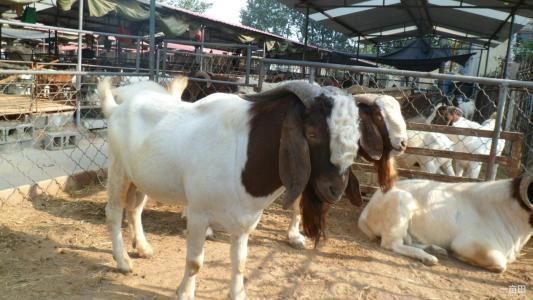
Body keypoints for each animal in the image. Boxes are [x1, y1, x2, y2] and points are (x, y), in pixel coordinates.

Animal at [358, 176, 532, 272]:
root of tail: (367, 209)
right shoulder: (469, 243)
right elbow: (500, 265)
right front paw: (459, 256)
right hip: (400, 205)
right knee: (392, 244)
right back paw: (428, 258)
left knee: (408, 242)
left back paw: (435, 249)